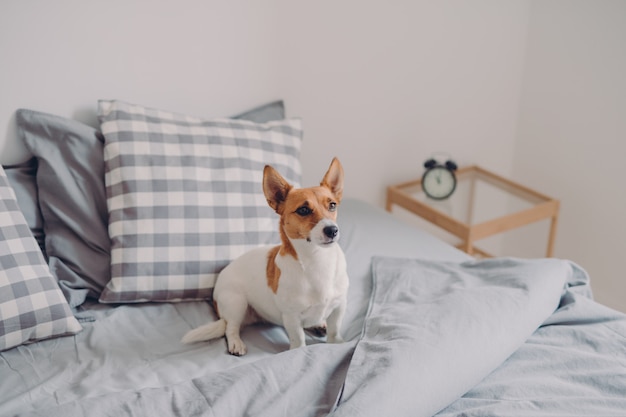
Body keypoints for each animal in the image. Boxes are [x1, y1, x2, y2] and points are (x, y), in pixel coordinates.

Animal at [180, 156, 348, 354]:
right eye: (303, 210)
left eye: (332, 205)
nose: (332, 230)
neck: (317, 260)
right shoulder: (291, 317)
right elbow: (298, 340)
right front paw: (298, 350)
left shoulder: (339, 307)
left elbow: (334, 330)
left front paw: (336, 343)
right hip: (236, 302)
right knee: (230, 327)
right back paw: (236, 343)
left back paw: (319, 324)